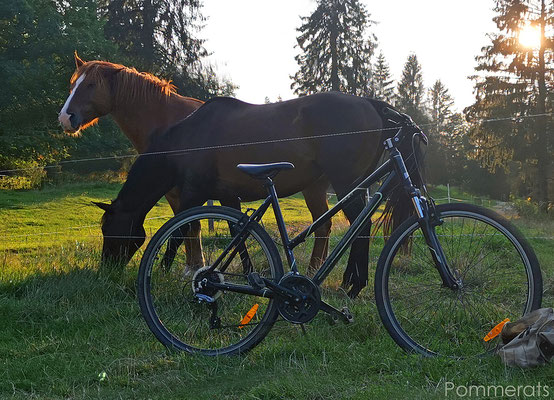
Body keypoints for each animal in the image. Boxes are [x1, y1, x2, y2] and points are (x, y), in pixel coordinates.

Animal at [59, 52, 334, 272]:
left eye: (91, 85)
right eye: (72, 84)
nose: (65, 117)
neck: (170, 125)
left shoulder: (184, 192)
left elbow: (188, 228)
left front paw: (188, 268)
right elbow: (194, 228)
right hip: (316, 187)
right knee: (324, 226)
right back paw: (315, 271)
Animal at [96, 92, 410, 296]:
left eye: (108, 229)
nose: (105, 270)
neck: (187, 139)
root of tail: (371, 104)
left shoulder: (193, 194)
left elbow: (179, 233)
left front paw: (162, 271)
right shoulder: (226, 197)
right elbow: (239, 236)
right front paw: (247, 277)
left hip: (346, 185)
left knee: (361, 226)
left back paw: (354, 284)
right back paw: (348, 282)